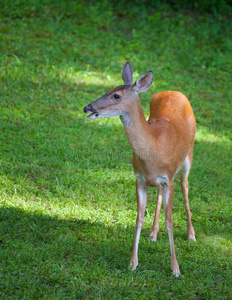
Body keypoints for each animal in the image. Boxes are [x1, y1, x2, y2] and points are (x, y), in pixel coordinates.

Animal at [83, 61, 196, 276]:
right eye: (107, 91)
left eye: (116, 96)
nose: (87, 107)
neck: (155, 148)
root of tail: (174, 91)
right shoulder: (139, 178)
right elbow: (138, 218)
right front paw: (132, 263)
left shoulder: (168, 177)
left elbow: (170, 221)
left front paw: (175, 268)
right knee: (159, 193)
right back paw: (153, 233)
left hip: (188, 157)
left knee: (185, 187)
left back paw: (191, 234)